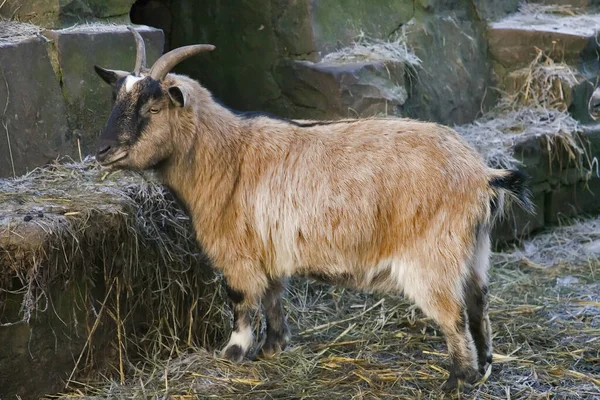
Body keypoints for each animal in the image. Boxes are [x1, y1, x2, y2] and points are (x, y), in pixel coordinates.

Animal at [95, 27, 536, 390]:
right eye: (115, 99)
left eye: (153, 108)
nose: (104, 151)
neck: (228, 155)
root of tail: (481, 173)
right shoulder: (268, 251)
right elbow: (273, 298)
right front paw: (274, 348)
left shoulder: (237, 254)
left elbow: (241, 303)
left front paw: (232, 355)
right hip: (475, 250)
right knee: (479, 304)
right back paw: (485, 367)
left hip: (433, 257)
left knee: (453, 315)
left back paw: (457, 382)